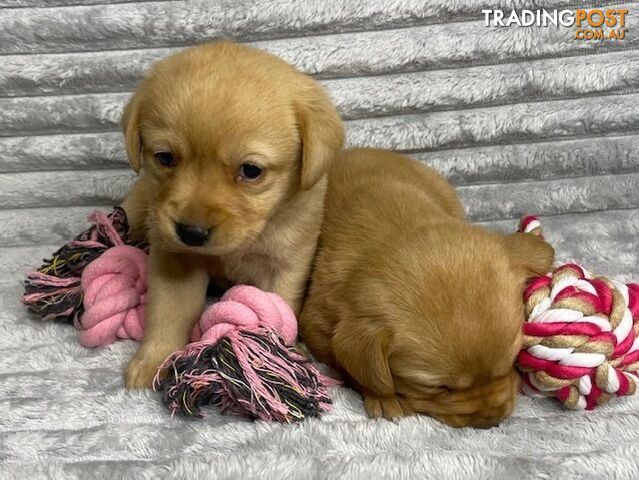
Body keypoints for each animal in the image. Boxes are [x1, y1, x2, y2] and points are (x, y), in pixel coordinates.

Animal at [120, 39, 344, 388]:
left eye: (251, 170)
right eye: (165, 157)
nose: (191, 232)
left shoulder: (286, 264)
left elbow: (279, 309)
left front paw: (281, 356)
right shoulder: (173, 258)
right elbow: (168, 310)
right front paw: (154, 358)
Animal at [300, 147, 556, 428]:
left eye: (511, 363)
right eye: (440, 388)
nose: (491, 420)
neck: (397, 225)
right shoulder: (316, 325)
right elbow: (354, 368)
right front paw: (383, 397)